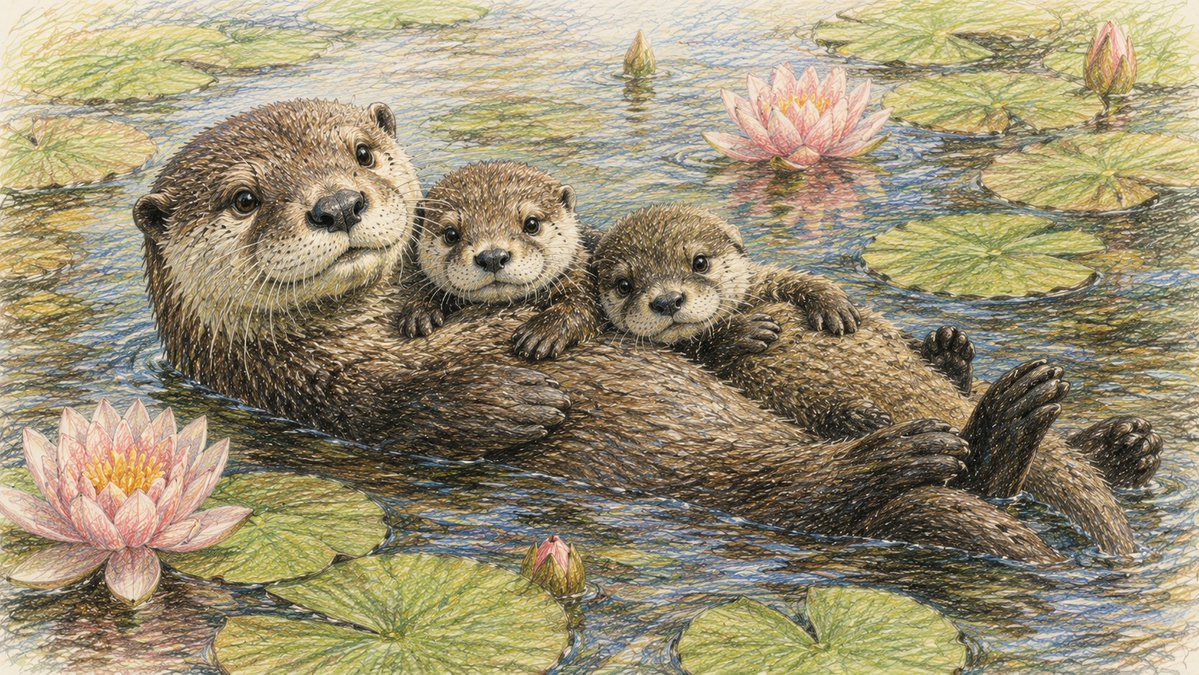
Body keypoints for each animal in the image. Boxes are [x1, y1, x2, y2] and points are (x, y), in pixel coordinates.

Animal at [395, 161, 603, 361]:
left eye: (532, 224)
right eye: (451, 234)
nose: (492, 257)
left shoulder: (580, 275)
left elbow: (582, 305)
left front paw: (542, 332)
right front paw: (420, 310)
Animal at [594, 204, 1163, 554]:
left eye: (700, 261)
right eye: (624, 285)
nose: (668, 300)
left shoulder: (765, 279)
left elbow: (798, 281)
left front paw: (831, 304)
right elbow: (710, 349)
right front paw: (743, 332)